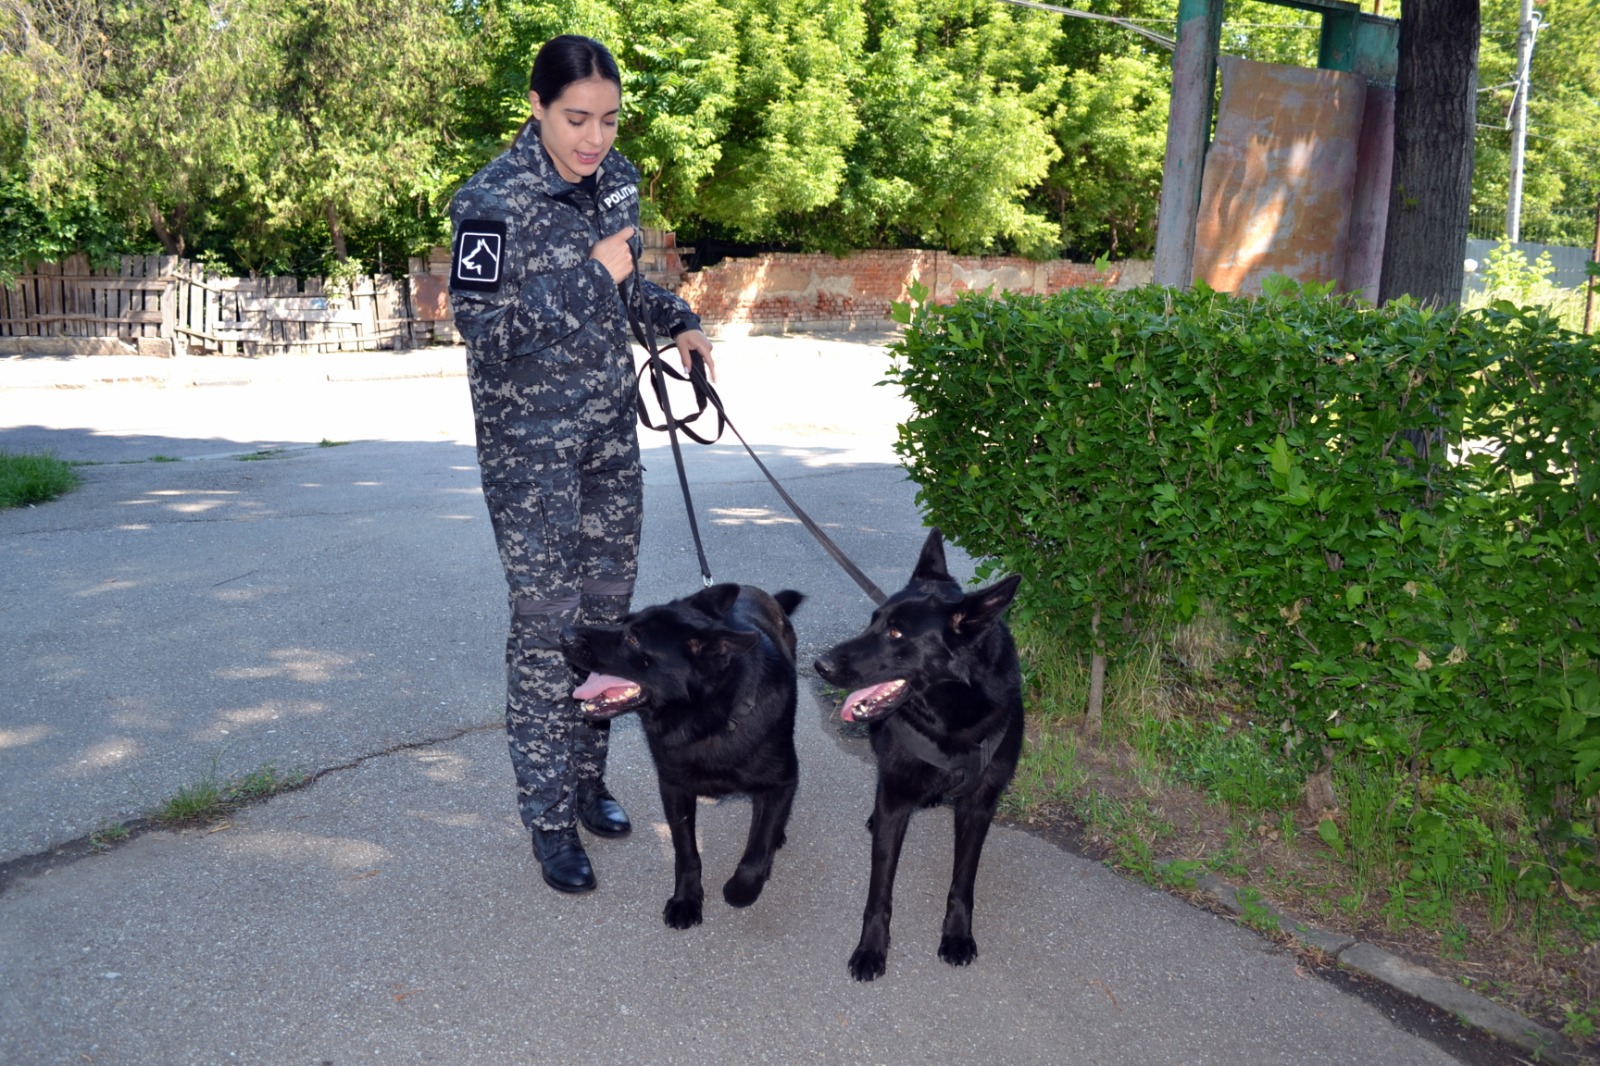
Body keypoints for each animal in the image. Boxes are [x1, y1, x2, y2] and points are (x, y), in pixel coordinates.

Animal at [560, 583, 804, 930]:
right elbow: (686, 851)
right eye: (623, 622)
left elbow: (757, 848)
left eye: (634, 639)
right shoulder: (674, 788)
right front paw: (686, 900)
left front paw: (743, 888)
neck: (710, 720)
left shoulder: (783, 781)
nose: (563, 633)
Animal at [814, 528, 1023, 982]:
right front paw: (872, 949)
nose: (819, 664)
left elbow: (962, 883)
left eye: (896, 634)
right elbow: (879, 891)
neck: (951, 721)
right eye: (873, 620)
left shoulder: (978, 806)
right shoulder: (894, 799)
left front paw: (957, 935)